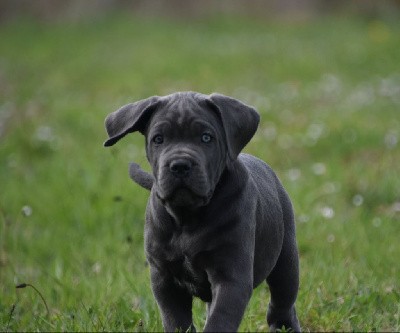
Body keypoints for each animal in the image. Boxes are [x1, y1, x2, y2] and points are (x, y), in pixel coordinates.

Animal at [104, 91, 300, 332]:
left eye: (206, 138)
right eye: (158, 139)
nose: (179, 165)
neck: (187, 217)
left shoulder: (231, 276)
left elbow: (220, 320)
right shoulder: (164, 279)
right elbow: (176, 321)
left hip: (286, 260)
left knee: (282, 303)